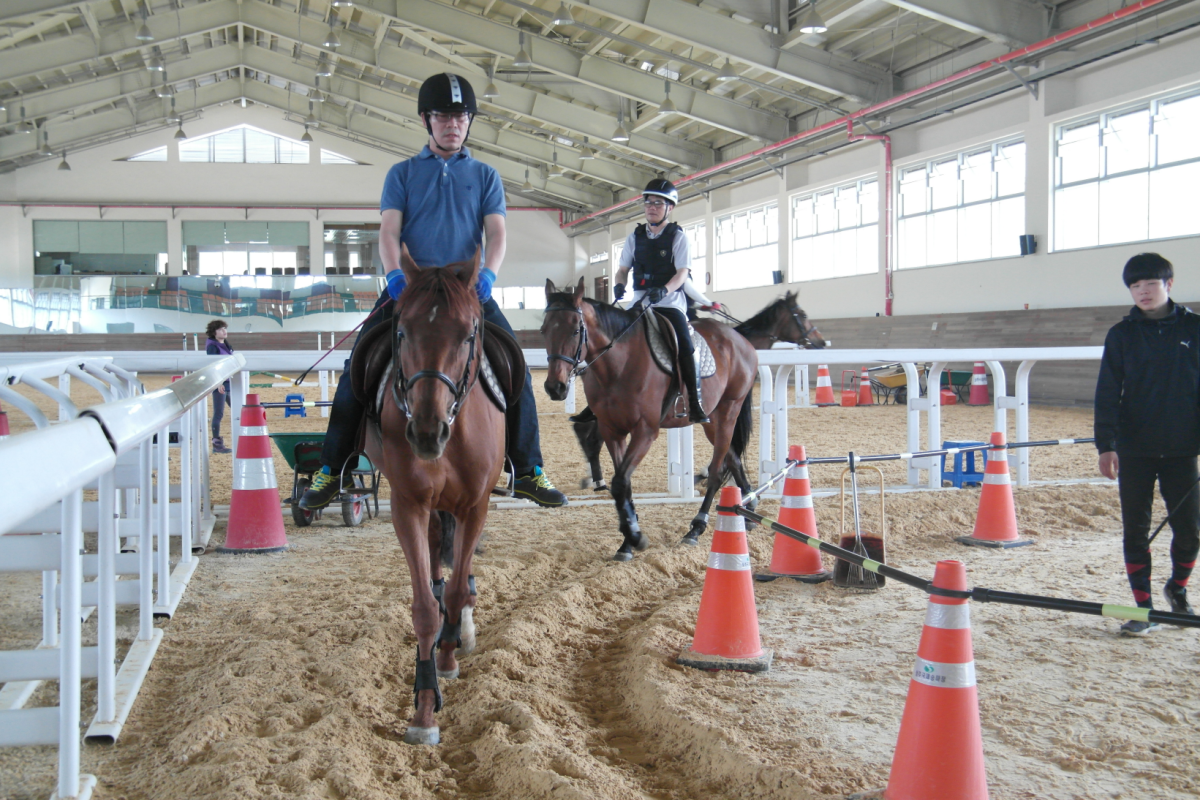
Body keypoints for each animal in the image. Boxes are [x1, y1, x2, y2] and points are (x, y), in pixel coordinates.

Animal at [361, 246, 505, 746]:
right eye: (402, 331)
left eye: (467, 334)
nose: (426, 433)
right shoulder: (408, 505)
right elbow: (425, 605)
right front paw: (424, 710)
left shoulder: (476, 506)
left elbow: (460, 587)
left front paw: (447, 655)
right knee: (438, 560)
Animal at [541, 278, 758, 559]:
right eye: (544, 330)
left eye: (575, 330)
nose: (554, 387)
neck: (618, 364)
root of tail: (740, 339)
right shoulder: (612, 431)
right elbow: (623, 485)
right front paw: (627, 540)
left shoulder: (645, 431)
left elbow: (620, 482)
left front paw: (634, 536)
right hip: (713, 420)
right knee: (733, 459)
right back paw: (750, 509)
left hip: (728, 412)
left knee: (716, 470)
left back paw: (696, 528)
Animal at [571, 291, 826, 492]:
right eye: (802, 315)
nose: (821, 342)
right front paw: (704, 474)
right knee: (590, 436)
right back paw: (597, 480)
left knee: (585, 432)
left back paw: (594, 479)